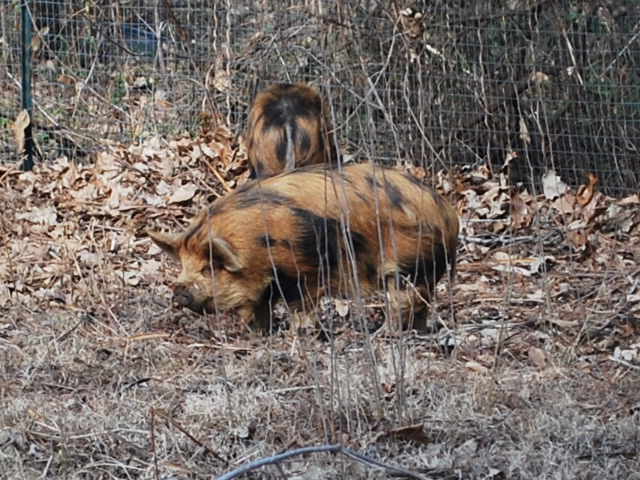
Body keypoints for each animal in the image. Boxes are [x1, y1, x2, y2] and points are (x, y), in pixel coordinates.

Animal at [147, 163, 458, 332]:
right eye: (183, 265)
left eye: (208, 267)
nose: (178, 287)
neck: (258, 243)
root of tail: (447, 214)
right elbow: (260, 307)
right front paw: (258, 333)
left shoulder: (306, 270)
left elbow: (299, 305)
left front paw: (298, 332)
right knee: (422, 303)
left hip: (407, 265)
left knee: (403, 302)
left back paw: (382, 334)